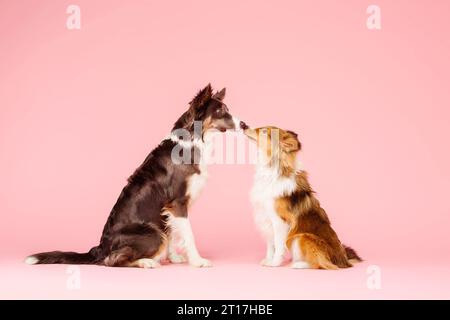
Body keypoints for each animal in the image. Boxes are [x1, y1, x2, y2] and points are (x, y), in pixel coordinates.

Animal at [25, 84, 243, 268]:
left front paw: (174, 258)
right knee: (112, 260)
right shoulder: (178, 202)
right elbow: (188, 235)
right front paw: (198, 261)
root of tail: (100, 248)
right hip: (152, 233)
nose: (243, 124)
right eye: (220, 111)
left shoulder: (169, 207)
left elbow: (173, 233)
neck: (192, 139)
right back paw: (146, 261)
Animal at [243, 126, 362, 268]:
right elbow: (270, 245)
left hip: (302, 237)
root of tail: (344, 261)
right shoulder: (266, 219)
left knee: (322, 264)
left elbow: (278, 245)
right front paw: (268, 260)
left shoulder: (279, 221)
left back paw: (298, 265)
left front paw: (275, 263)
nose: (244, 125)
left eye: (264, 131)